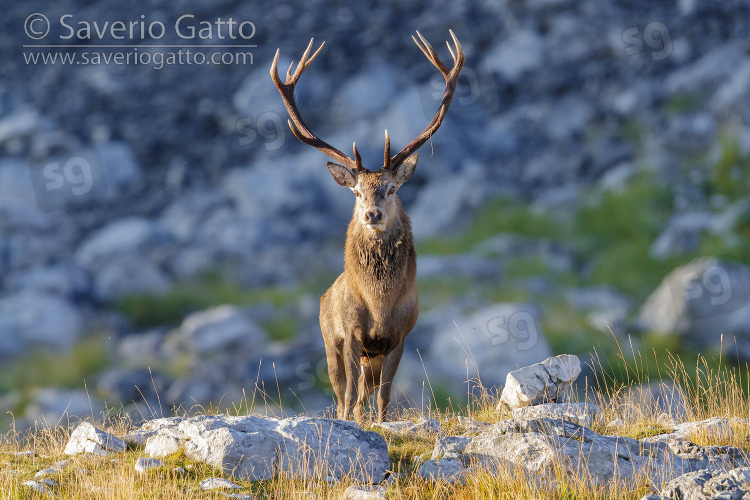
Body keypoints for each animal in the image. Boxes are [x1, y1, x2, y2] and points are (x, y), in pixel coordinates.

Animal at [272, 30, 464, 422]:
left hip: (370, 355)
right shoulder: (351, 332)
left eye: (391, 188)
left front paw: (380, 423)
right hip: (329, 341)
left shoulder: (400, 335)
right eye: (357, 192)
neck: (380, 304)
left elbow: (384, 398)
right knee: (343, 392)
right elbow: (349, 397)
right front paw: (351, 424)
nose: (371, 214)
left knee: (366, 391)